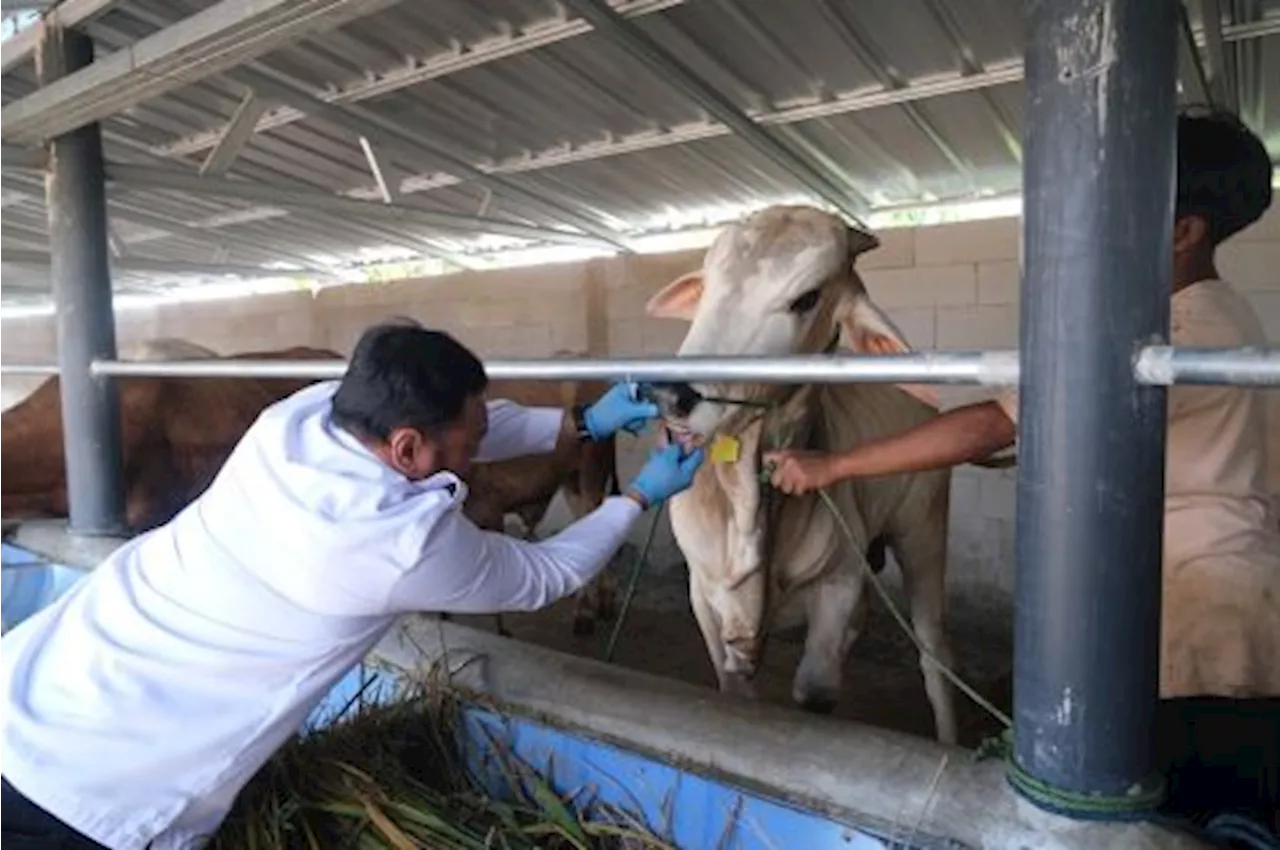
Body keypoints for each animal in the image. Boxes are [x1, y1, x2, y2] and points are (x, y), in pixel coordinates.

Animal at [645, 206, 957, 742]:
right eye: (708, 282)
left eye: (806, 298)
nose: (671, 397)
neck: (748, 505)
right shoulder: (703, 593)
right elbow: (733, 688)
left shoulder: (839, 581)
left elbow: (815, 691)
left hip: (923, 529)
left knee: (934, 652)